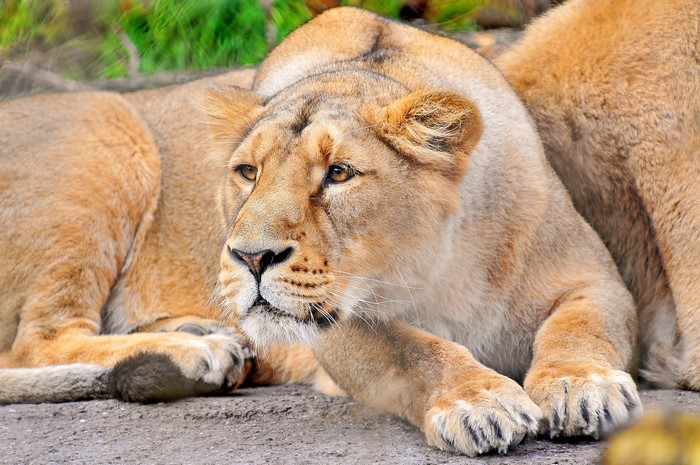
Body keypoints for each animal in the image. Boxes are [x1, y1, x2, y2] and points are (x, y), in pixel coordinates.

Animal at [203, 6, 643, 456]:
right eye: (248, 172)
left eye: (339, 172)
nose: (252, 257)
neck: (439, 270)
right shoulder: (335, 328)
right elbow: (412, 353)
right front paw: (480, 402)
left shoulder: (593, 278)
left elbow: (579, 329)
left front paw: (582, 387)